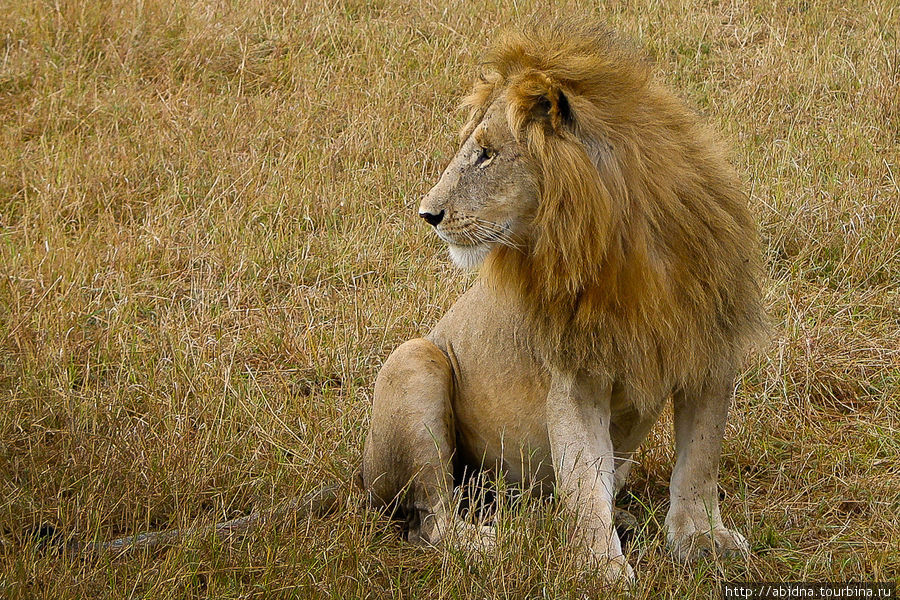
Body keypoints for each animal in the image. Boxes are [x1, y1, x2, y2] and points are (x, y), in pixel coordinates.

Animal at [362, 19, 764, 580]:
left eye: (485, 153)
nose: (427, 214)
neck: (621, 241)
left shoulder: (710, 349)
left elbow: (700, 460)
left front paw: (703, 539)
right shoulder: (576, 378)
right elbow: (583, 477)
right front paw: (600, 567)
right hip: (415, 357)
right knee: (432, 521)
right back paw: (497, 542)